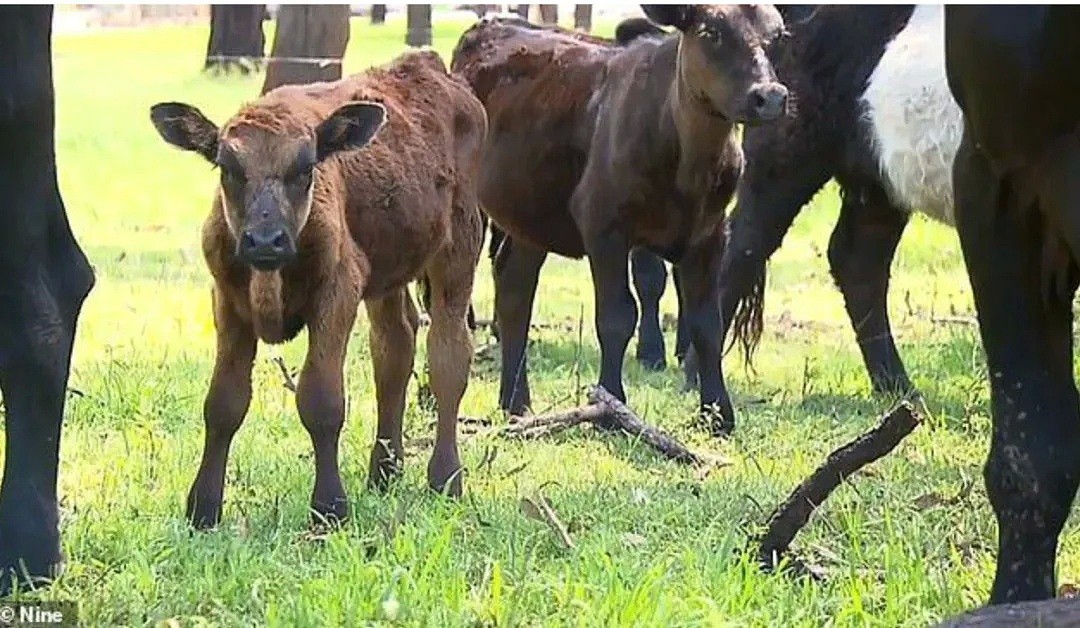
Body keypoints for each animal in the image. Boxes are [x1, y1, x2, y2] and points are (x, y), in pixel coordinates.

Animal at [150, 51, 488, 527]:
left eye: (305, 168)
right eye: (228, 168)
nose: (265, 241)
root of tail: (431, 67)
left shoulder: (337, 291)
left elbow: (322, 400)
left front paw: (329, 507)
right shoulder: (228, 303)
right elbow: (223, 403)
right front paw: (203, 508)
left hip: (459, 248)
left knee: (448, 356)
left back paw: (445, 479)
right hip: (387, 274)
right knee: (394, 350)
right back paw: (384, 474)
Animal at [451, 4, 790, 434]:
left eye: (778, 36)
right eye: (711, 32)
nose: (770, 96)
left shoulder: (710, 234)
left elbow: (707, 323)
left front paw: (717, 413)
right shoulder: (604, 226)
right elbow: (616, 316)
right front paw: (611, 407)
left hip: (530, 209)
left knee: (515, 288)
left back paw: (517, 403)